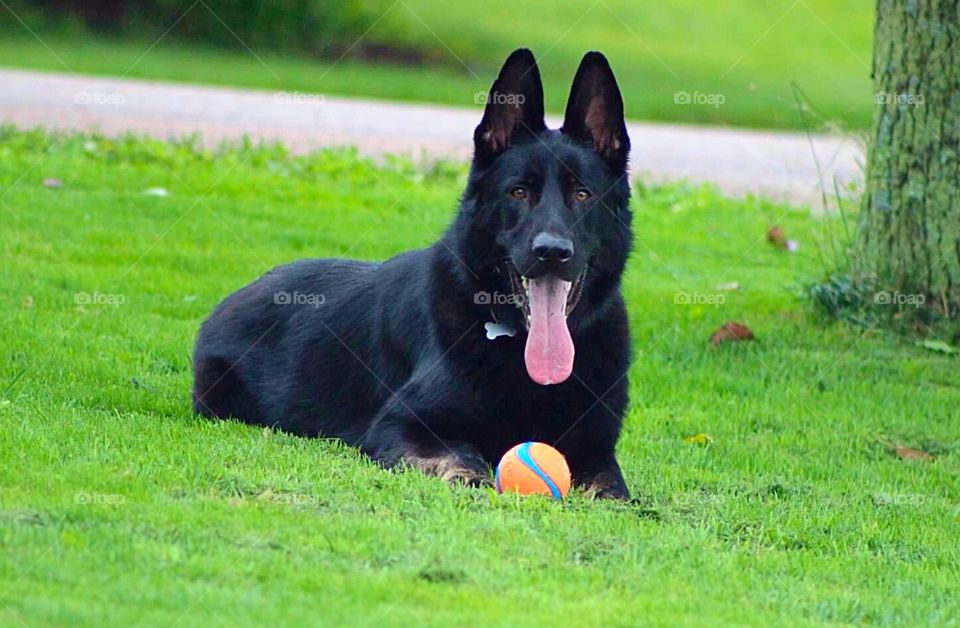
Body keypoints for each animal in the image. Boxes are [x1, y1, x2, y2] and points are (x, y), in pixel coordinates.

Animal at [191, 49, 632, 498]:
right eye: (518, 192)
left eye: (583, 194)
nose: (552, 252)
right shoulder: (401, 424)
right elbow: (460, 457)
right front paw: (470, 476)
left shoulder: (597, 449)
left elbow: (611, 488)